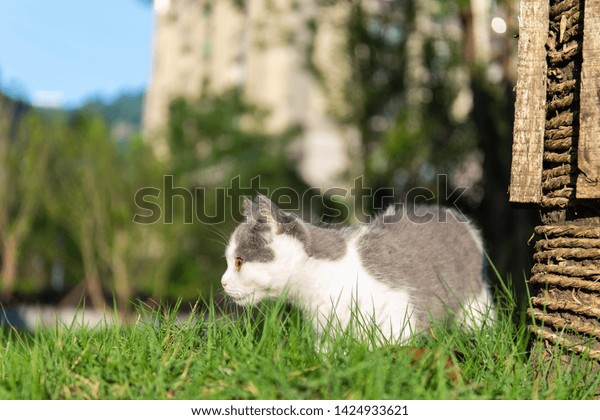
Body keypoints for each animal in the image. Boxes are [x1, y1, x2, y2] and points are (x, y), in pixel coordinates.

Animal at [220, 195, 492, 342]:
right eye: (229, 261)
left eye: (238, 262)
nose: (222, 281)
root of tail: (450, 212)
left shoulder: (398, 318)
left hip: (474, 303)